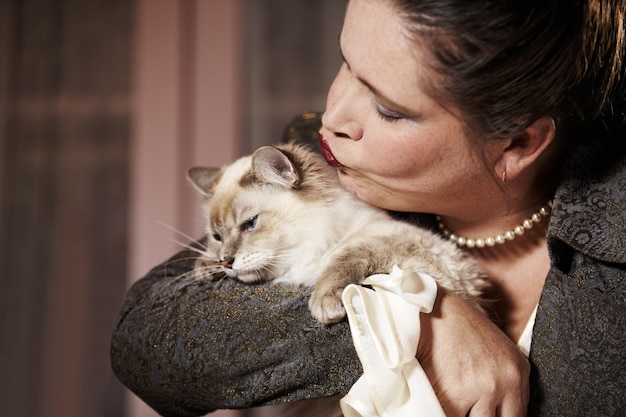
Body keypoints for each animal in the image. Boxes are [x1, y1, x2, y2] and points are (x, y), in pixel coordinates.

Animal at [185, 141, 488, 322]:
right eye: (217, 237)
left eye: (249, 224)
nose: (227, 261)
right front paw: (204, 267)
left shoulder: (404, 246)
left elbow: (343, 259)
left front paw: (324, 305)